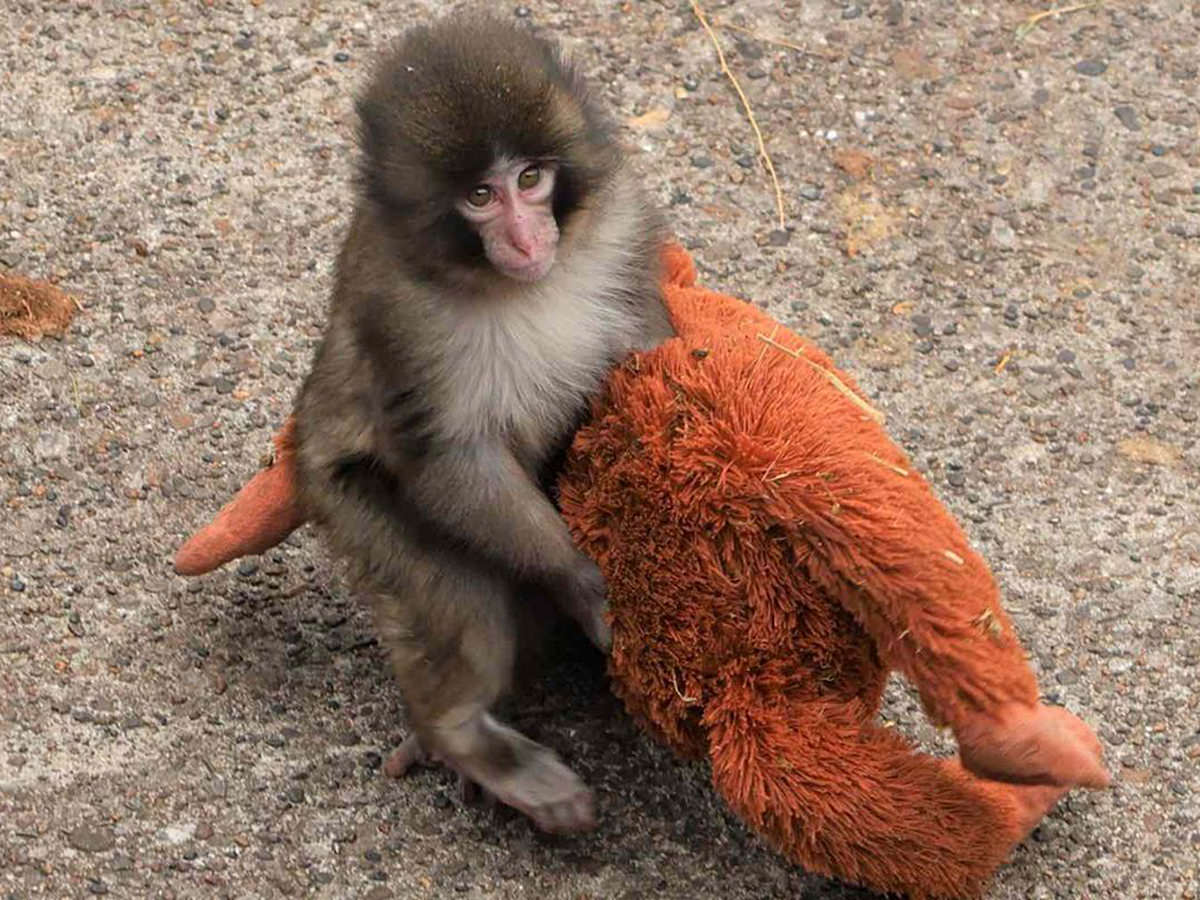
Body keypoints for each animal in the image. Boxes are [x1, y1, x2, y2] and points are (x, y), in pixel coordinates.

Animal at [292, 10, 674, 835]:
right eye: (478, 195)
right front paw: (581, 581)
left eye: (530, 180)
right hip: (347, 504)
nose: (527, 240)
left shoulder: (623, 225)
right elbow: (448, 458)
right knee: (463, 602)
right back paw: (463, 736)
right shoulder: (399, 311)